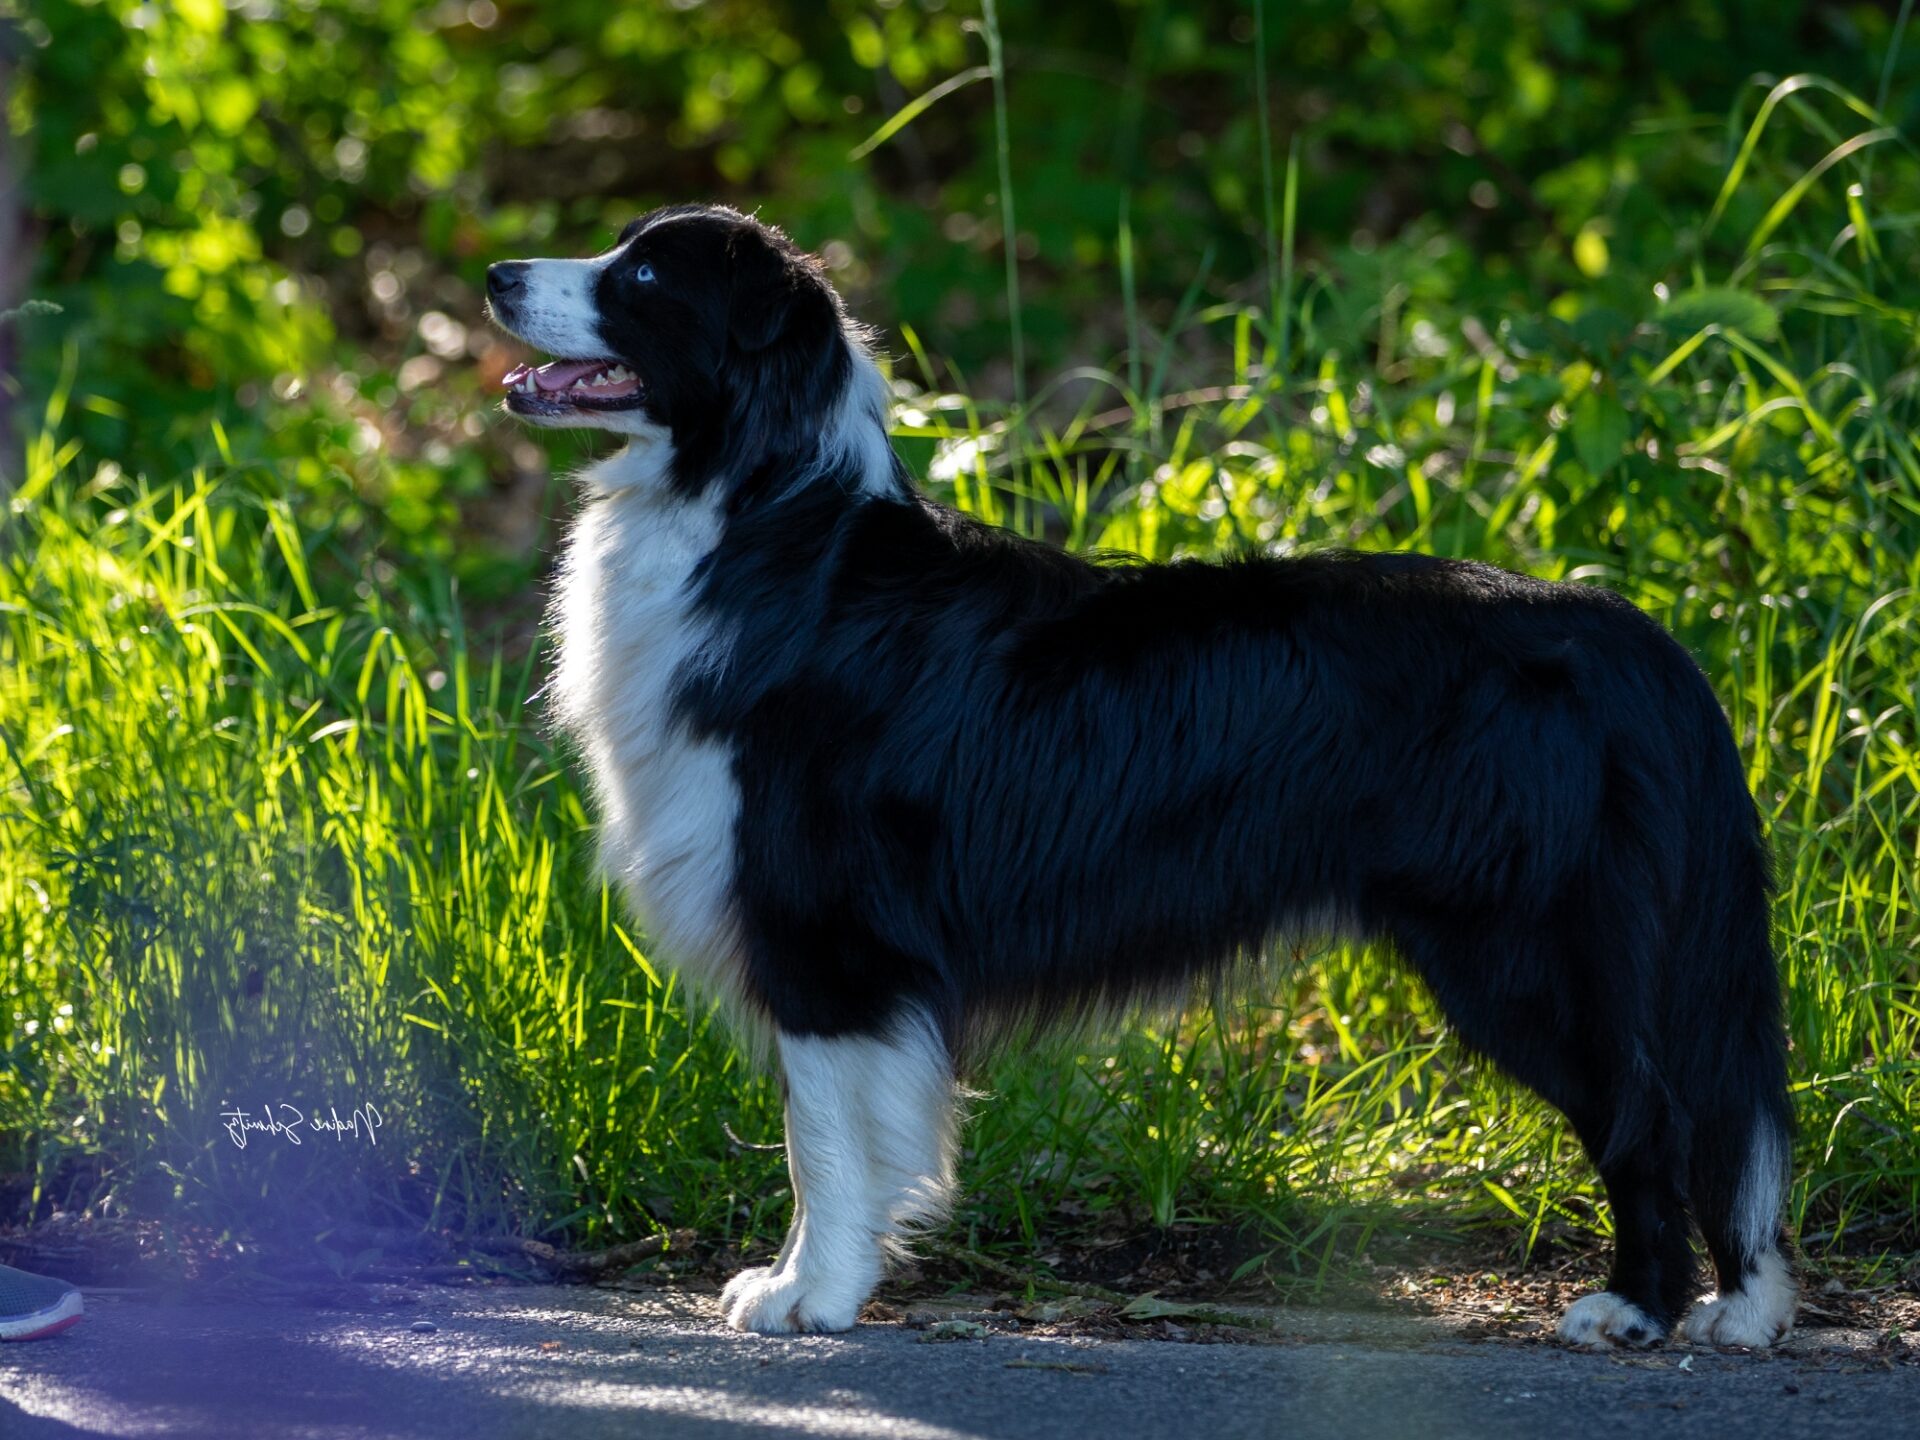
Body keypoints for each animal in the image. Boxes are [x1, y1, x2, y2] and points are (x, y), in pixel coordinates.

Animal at [483, 205, 1797, 1351]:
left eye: (646, 276)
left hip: (1520, 945)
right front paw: (819, 1283)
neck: (759, 518)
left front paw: (811, 1295)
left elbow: (826, 1141)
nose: (494, 274)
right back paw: (1727, 1308)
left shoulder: (831, 936)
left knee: (1652, 1116)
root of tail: (1630, 635)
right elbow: (838, 1134)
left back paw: (1638, 1310)